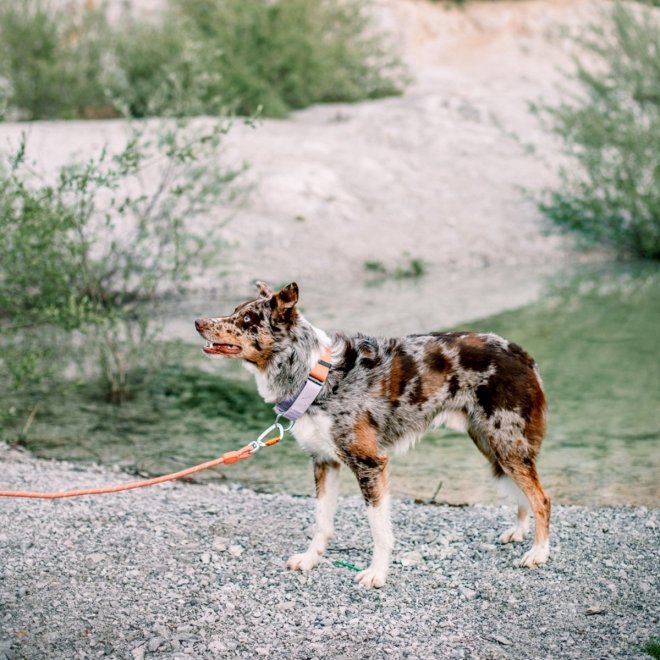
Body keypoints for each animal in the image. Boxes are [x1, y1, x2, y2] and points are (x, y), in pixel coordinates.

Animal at [196, 282, 552, 592]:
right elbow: (322, 523)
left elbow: (379, 531)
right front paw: (311, 560)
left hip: (506, 443)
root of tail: (520, 352)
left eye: (246, 319)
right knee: (524, 493)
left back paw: (539, 553)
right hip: (494, 445)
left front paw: (377, 574)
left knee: (541, 499)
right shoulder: (324, 462)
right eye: (235, 310)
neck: (316, 375)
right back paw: (520, 531)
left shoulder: (370, 464)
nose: (198, 322)